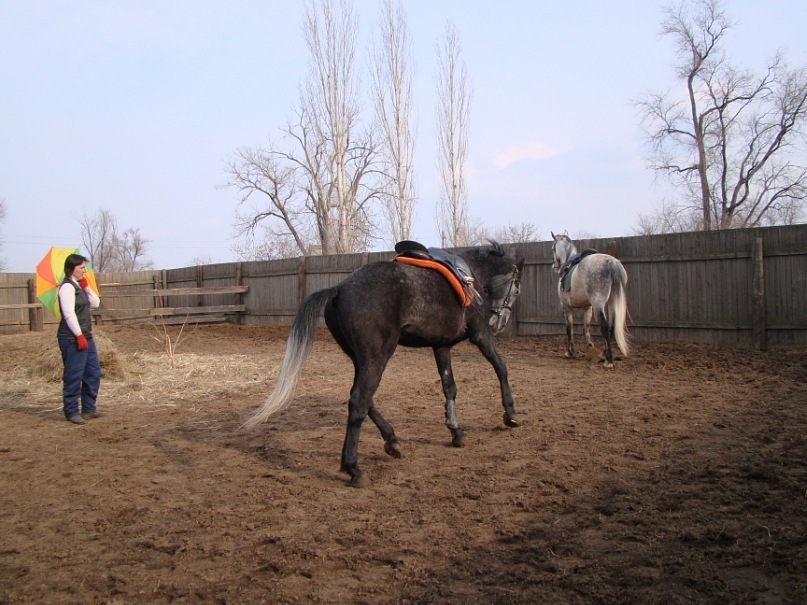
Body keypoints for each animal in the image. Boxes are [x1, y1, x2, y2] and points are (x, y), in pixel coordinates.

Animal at [245, 241, 524, 486]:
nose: (500, 322)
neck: (472, 275)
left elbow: (449, 387)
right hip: (378, 356)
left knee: (363, 399)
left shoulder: (441, 346)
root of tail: (339, 288)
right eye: (517, 288)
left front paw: (455, 430)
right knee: (359, 401)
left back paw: (392, 441)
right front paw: (510, 414)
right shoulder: (481, 335)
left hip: (362, 359)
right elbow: (501, 368)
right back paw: (353, 468)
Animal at [552, 229, 628, 366]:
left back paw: (608, 360)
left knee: (605, 326)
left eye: (552, 248)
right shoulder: (587, 308)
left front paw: (570, 352)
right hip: (611, 302)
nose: (554, 266)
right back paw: (604, 353)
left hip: (598, 304)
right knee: (611, 326)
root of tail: (611, 263)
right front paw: (590, 347)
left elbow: (569, 329)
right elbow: (586, 328)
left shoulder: (566, 307)